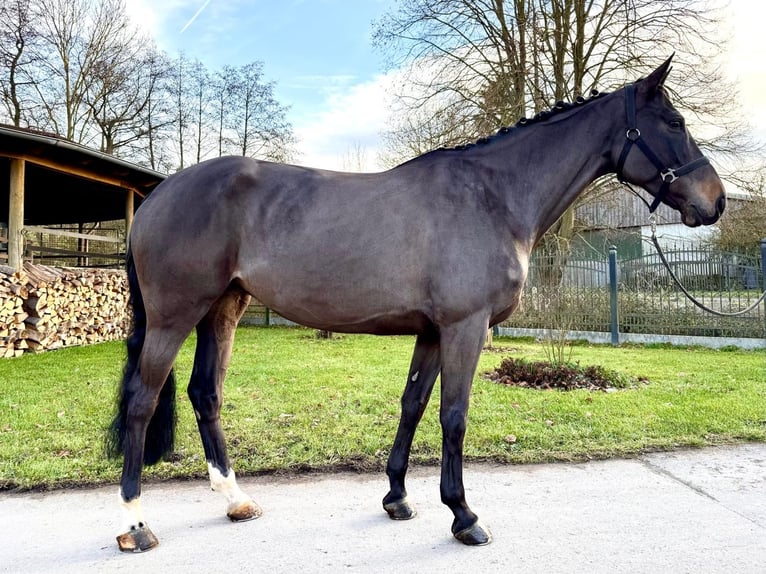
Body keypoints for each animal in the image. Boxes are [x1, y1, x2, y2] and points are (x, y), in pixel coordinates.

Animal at [106, 57, 728, 552]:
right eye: (675, 123)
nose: (716, 201)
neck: (494, 196)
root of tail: (159, 194)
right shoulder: (464, 327)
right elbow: (454, 416)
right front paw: (464, 516)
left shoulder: (432, 331)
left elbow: (413, 405)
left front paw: (397, 497)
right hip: (175, 316)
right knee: (142, 400)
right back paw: (136, 524)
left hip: (223, 309)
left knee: (204, 393)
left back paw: (235, 499)